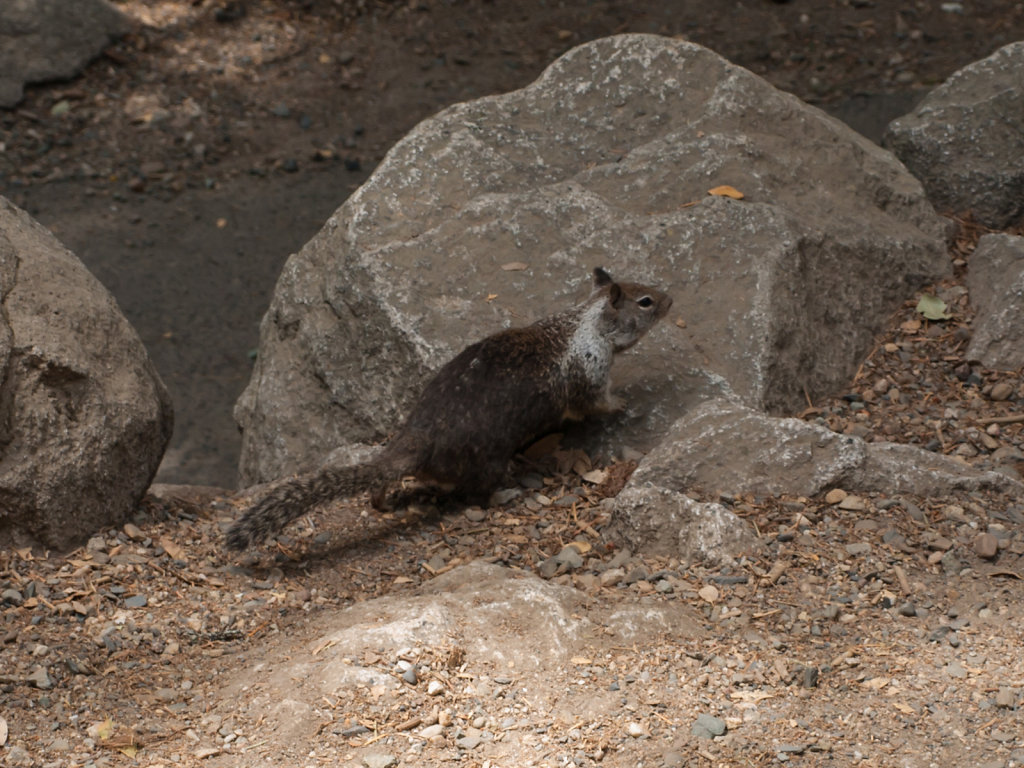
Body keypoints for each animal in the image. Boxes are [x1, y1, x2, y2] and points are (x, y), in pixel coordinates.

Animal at [225, 268, 671, 548]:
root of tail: (413, 441)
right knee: (475, 496)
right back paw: (507, 493)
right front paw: (623, 403)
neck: (586, 321)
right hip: (488, 463)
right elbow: (594, 402)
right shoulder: (590, 371)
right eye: (646, 301)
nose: (671, 297)